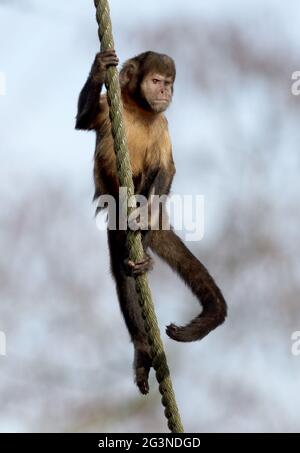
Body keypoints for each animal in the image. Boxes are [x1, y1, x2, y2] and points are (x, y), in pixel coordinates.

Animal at [75, 51, 227, 394]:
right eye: (156, 81)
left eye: (168, 83)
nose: (165, 92)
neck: (139, 109)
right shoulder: (107, 107)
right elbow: (81, 121)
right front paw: (99, 67)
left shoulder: (162, 124)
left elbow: (166, 170)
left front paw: (142, 220)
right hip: (115, 222)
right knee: (121, 270)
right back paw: (142, 349)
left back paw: (142, 236)